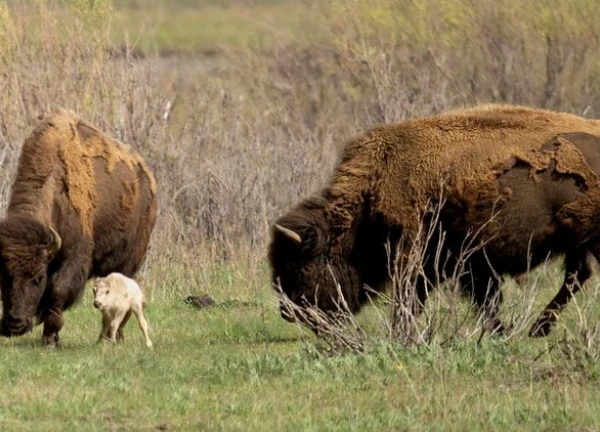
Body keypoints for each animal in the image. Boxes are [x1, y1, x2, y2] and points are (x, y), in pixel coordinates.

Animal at [0, 109, 157, 348]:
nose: (14, 325)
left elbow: (58, 290)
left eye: (38, 277)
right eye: (3, 276)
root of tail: (146, 175)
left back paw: (115, 336)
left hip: (130, 261)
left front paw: (51, 339)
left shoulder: (75, 256)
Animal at [270, 104, 600, 338]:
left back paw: (538, 329)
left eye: (298, 265)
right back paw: (538, 330)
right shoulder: (471, 264)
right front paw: (498, 332)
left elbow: (410, 297)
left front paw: (399, 333)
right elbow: (485, 300)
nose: (288, 311)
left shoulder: (416, 254)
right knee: (577, 275)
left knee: (577, 275)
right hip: (578, 242)